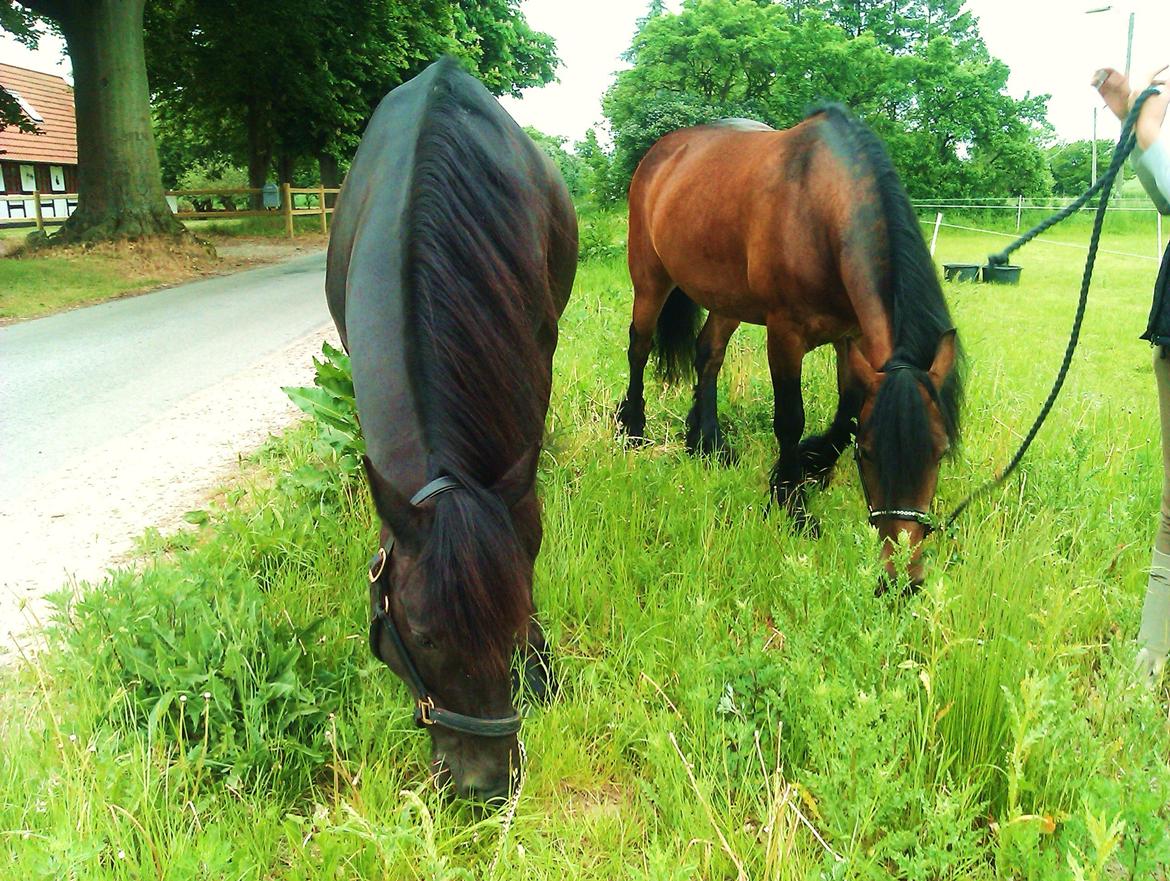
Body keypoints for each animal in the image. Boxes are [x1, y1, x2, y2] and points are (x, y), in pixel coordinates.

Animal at [617, 106, 964, 587]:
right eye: (870, 455)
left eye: (940, 452)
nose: (901, 579)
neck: (819, 209)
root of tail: (662, 151)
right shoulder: (785, 334)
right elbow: (789, 419)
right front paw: (790, 503)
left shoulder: (850, 336)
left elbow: (848, 412)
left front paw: (813, 465)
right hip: (650, 277)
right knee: (640, 346)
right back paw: (633, 429)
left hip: (727, 298)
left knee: (709, 354)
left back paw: (707, 442)